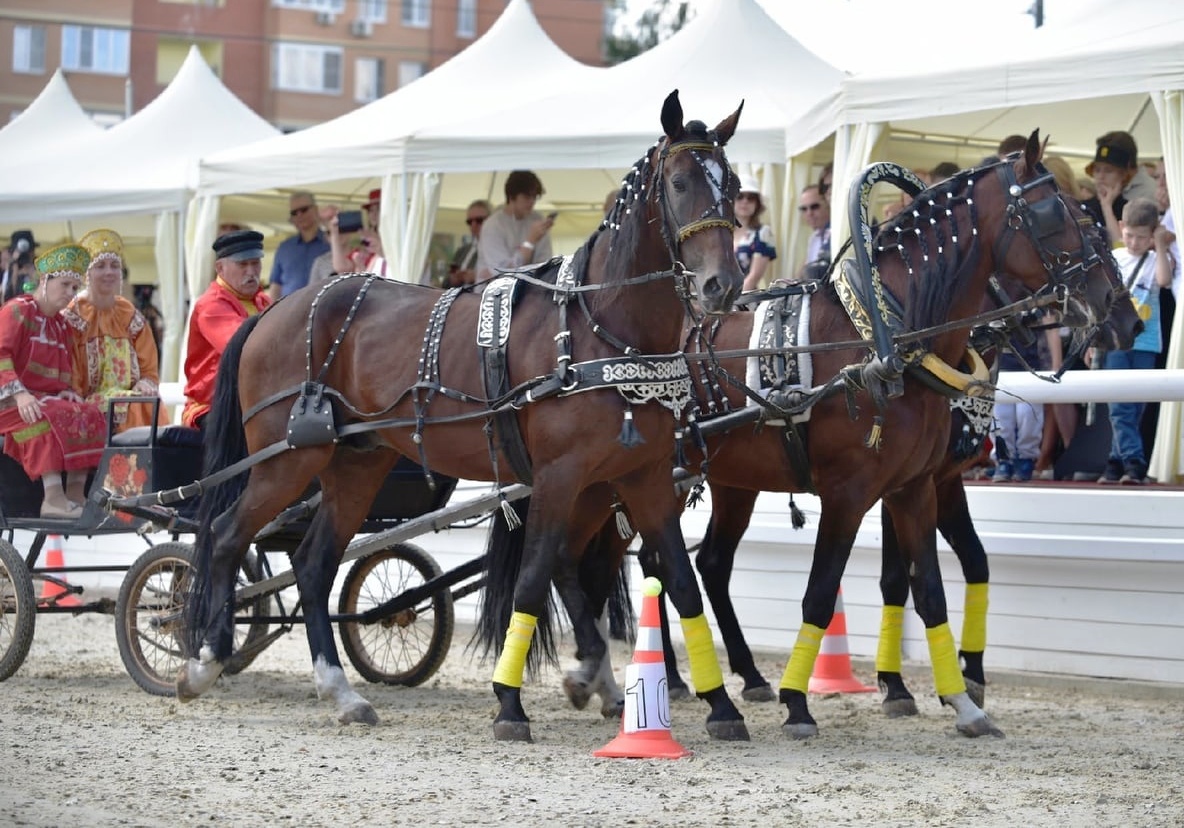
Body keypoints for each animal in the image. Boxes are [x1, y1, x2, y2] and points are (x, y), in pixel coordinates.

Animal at [174, 92, 748, 743]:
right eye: (678, 183)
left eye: (732, 186)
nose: (722, 284)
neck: (599, 326)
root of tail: (271, 311)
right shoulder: (558, 476)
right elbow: (535, 575)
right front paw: (509, 705)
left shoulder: (642, 476)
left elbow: (680, 581)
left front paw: (721, 707)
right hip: (289, 459)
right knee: (226, 537)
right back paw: (206, 661)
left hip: (356, 464)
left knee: (313, 566)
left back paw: (340, 691)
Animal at [492, 134, 1127, 739]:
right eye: (1057, 212)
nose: (1116, 304)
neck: (881, 337)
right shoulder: (852, 491)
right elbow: (826, 591)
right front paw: (806, 702)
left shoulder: (917, 487)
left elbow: (931, 587)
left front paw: (963, 701)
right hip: (623, 477)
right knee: (615, 561)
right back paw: (648, 676)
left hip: (676, 481)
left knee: (648, 563)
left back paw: (657, 675)